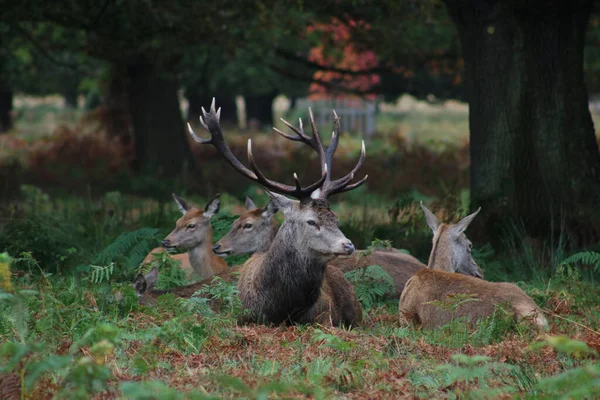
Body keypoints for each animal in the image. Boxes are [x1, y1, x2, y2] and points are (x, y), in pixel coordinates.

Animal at [189, 98, 366, 326]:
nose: (348, 245)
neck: (282, 307)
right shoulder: (242, 316)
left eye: (335, 219)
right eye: (311, 221)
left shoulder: (325, 316)